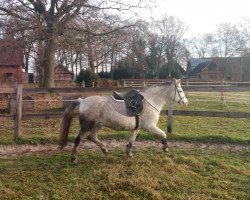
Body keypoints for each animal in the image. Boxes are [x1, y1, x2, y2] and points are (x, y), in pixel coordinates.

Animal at [58, 79, 188, 163]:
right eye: (181, 91)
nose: (186, 102)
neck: (151, 101)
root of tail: (82, 101)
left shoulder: (136, 128)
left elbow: (131, 140)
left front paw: (129, 153)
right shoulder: (150, 126)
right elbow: (163, 134)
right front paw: (165, 147)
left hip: (98, 125)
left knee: (93, 137)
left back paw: (105, 150)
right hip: (87, 127)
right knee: (78, 140)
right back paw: (74, 159)